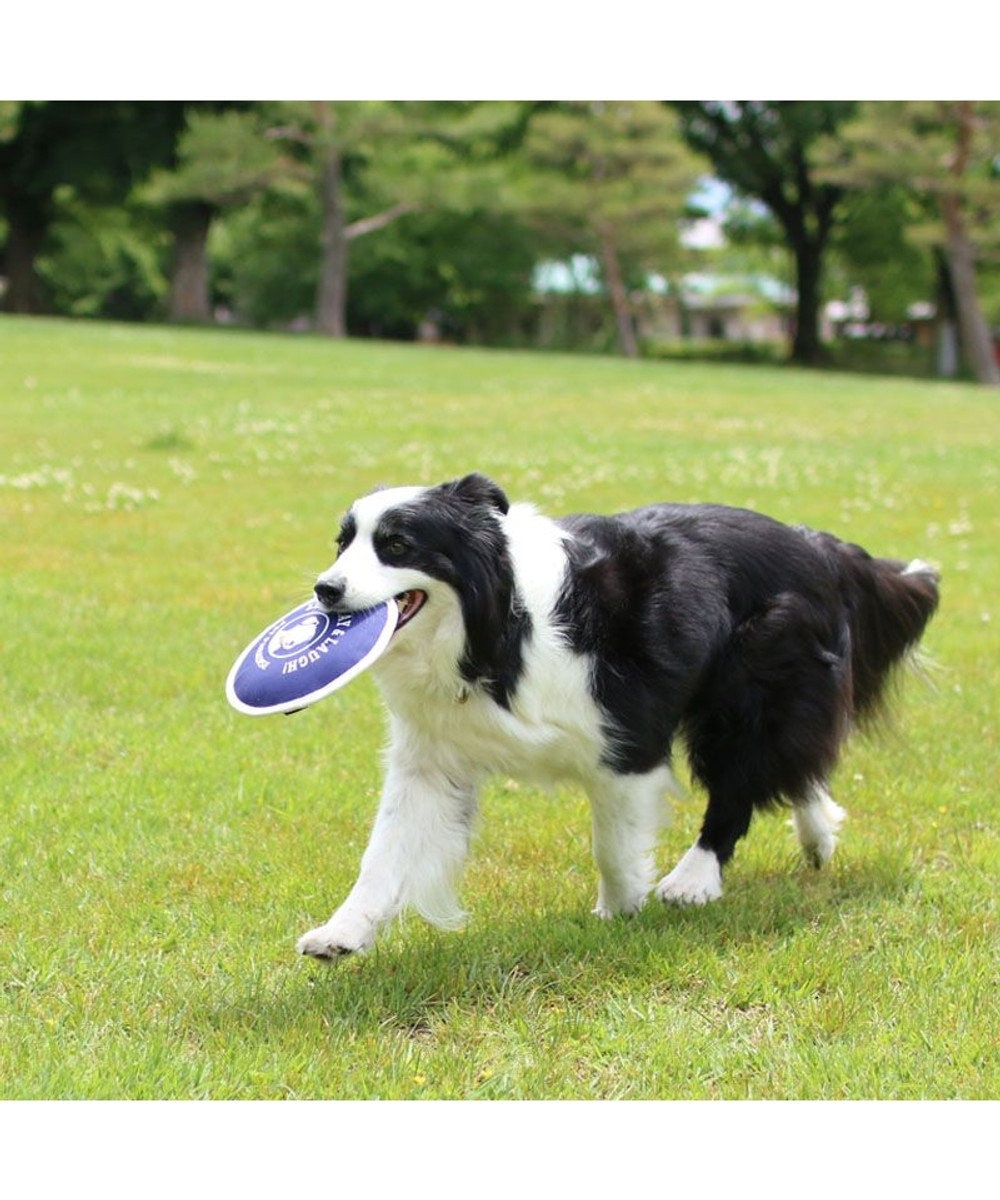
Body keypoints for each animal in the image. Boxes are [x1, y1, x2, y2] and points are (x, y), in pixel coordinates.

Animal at [294, 472, 936, 960]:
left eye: (398, 545)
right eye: (341, 544)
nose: (325, 589)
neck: (493, 629)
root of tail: (818, 547)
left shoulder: (627, 740)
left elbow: (612, 841)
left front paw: (621, 911)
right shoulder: (433, 755)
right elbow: (386, 848)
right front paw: (341, 934)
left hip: (754, 680)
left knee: (742, 776)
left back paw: (694, 879)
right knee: (794, 758)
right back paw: (817, 832)